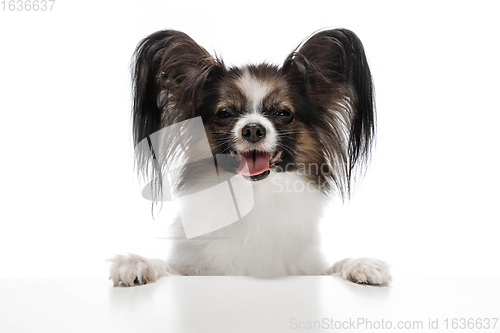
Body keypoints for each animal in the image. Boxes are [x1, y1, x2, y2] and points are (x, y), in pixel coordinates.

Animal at [108, 27, 390, 286]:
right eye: (224, 113)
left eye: (282, 113)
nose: (253, 129)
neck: (254, 194)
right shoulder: (195, 268)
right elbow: (169, 268)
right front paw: (139, 263)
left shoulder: (306, 268)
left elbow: (331, 267)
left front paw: (359, 264)